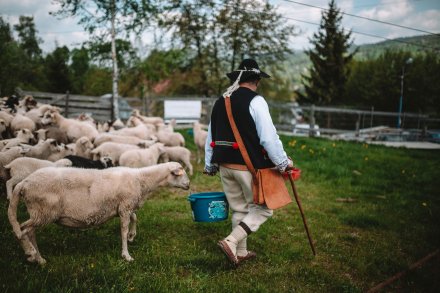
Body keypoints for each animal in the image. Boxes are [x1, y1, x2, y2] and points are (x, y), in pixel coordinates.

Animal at [6, 161, 189, 264]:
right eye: (180, 173)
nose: (188, 185)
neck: (141, 180)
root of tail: (23, 183)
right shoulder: (125, 205)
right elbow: (123, 230)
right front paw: (126, 255)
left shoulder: (124, 206)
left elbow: (135, 217)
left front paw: (132, 235)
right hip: (44, 212)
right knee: (22, 230)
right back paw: (31, 253)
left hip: (38, 212)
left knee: (28, 231)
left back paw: (39, 258)